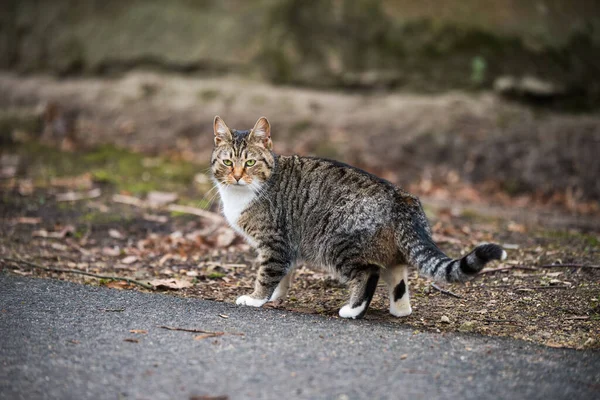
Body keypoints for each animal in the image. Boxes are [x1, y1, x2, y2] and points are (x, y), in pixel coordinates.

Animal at [212, 115, 506, 318]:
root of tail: (402, 197)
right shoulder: (286, 247)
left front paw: (256, 298)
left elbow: (267, 274)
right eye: (227, 162)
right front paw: (274, 297)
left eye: (250, 163)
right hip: (386, 248)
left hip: (335, 242)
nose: (236, 176)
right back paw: (400, 309)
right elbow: (283, 275)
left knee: (369, 272)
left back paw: (353, 310)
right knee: (397, 273)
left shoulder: (274, 242)